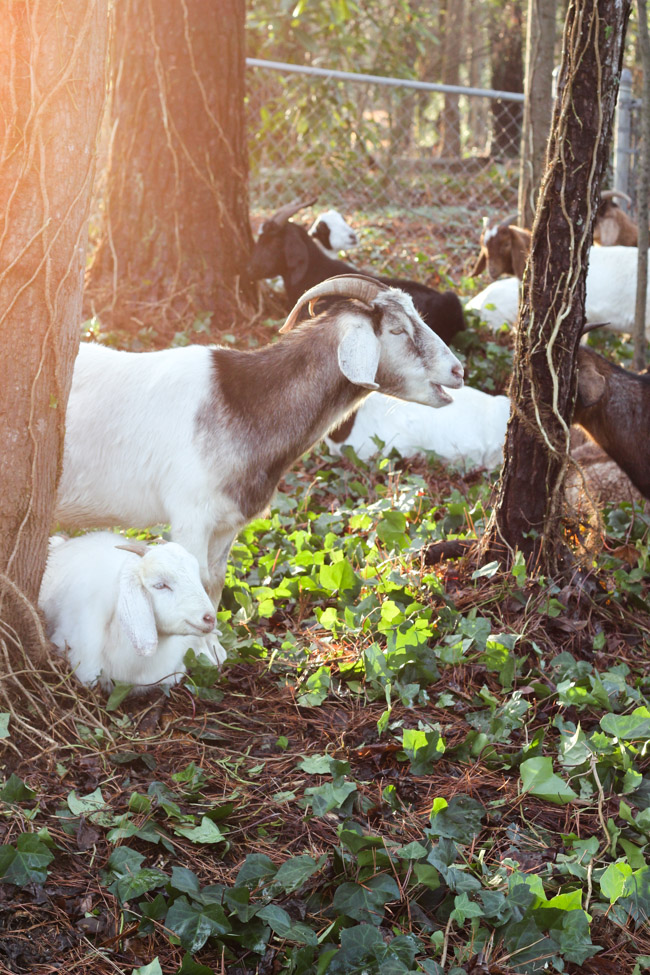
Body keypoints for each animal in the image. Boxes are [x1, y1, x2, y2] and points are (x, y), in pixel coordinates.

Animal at [55, 276, 464, 609]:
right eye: (396, 330)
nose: (458, 370)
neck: (243, 402)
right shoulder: (190, 519)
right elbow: (193, 582)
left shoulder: (228, 523)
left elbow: (213, 584)